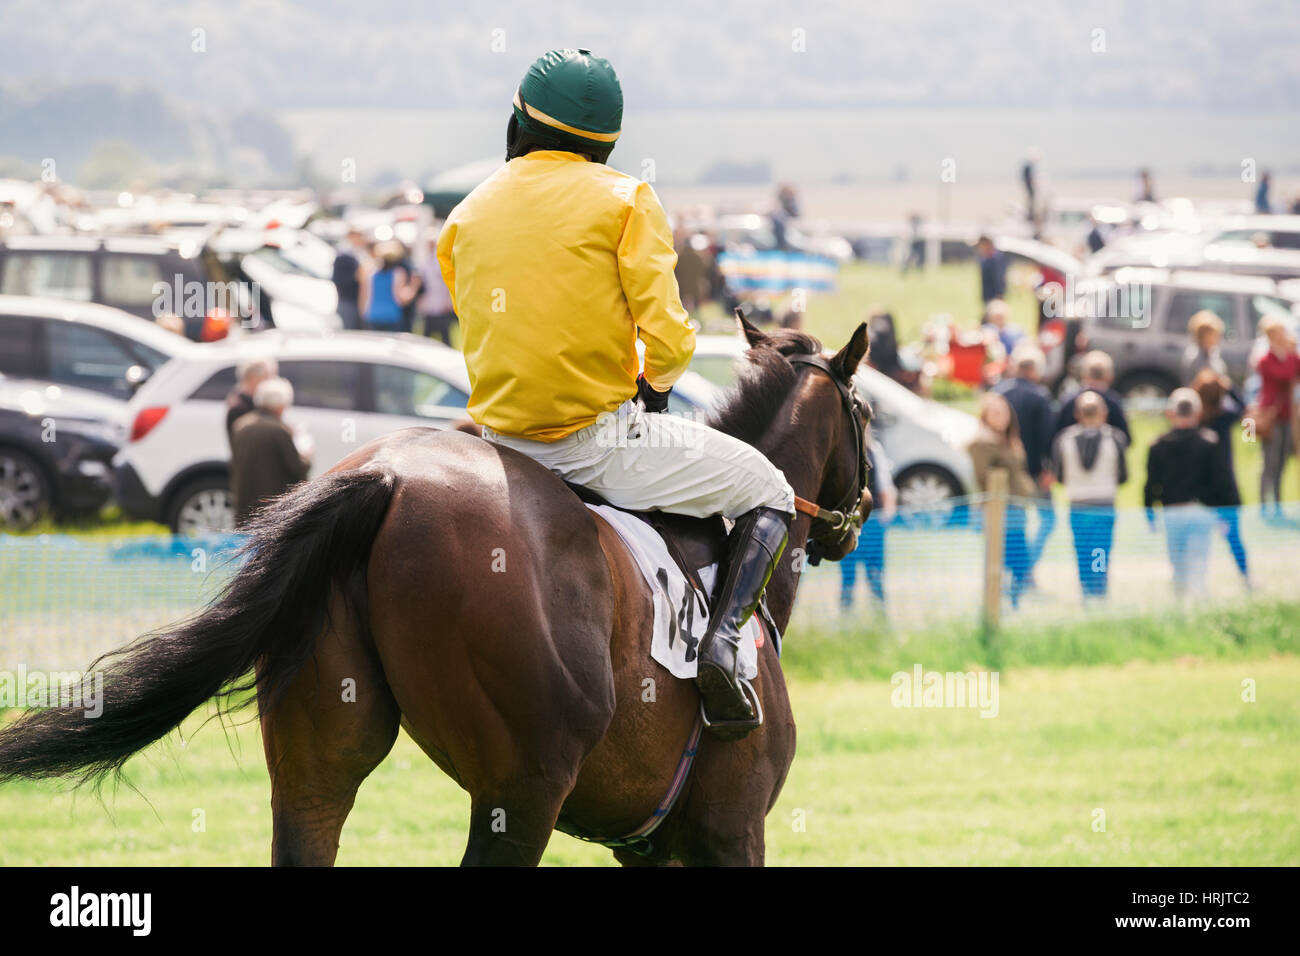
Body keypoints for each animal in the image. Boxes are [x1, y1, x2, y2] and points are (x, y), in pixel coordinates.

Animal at [0, 315, 872, 866]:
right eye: (867, 410)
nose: (864, 506)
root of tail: (386, 477)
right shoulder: (733, 831)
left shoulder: (648, 849)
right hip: (523, 793)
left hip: (320, 760)